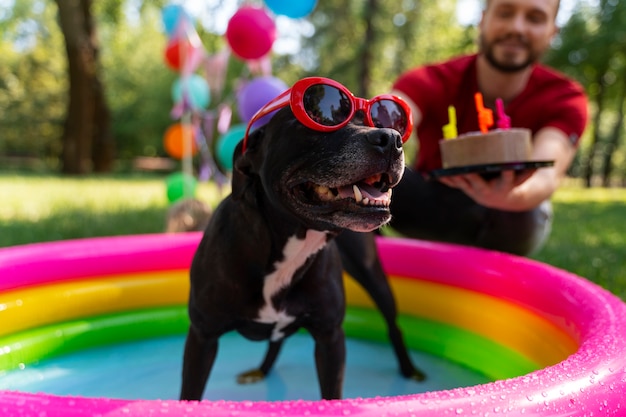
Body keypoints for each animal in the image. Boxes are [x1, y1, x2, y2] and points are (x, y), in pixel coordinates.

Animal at [180, 107, 422, 400]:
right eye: (320, 118)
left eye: (378, 122)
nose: (391, 138)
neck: (291, 245)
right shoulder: (202, 336)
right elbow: (190, 393)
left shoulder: (330, 338)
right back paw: (261, 371)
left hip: (373, 275)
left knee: (393, 326)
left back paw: (410, 371)